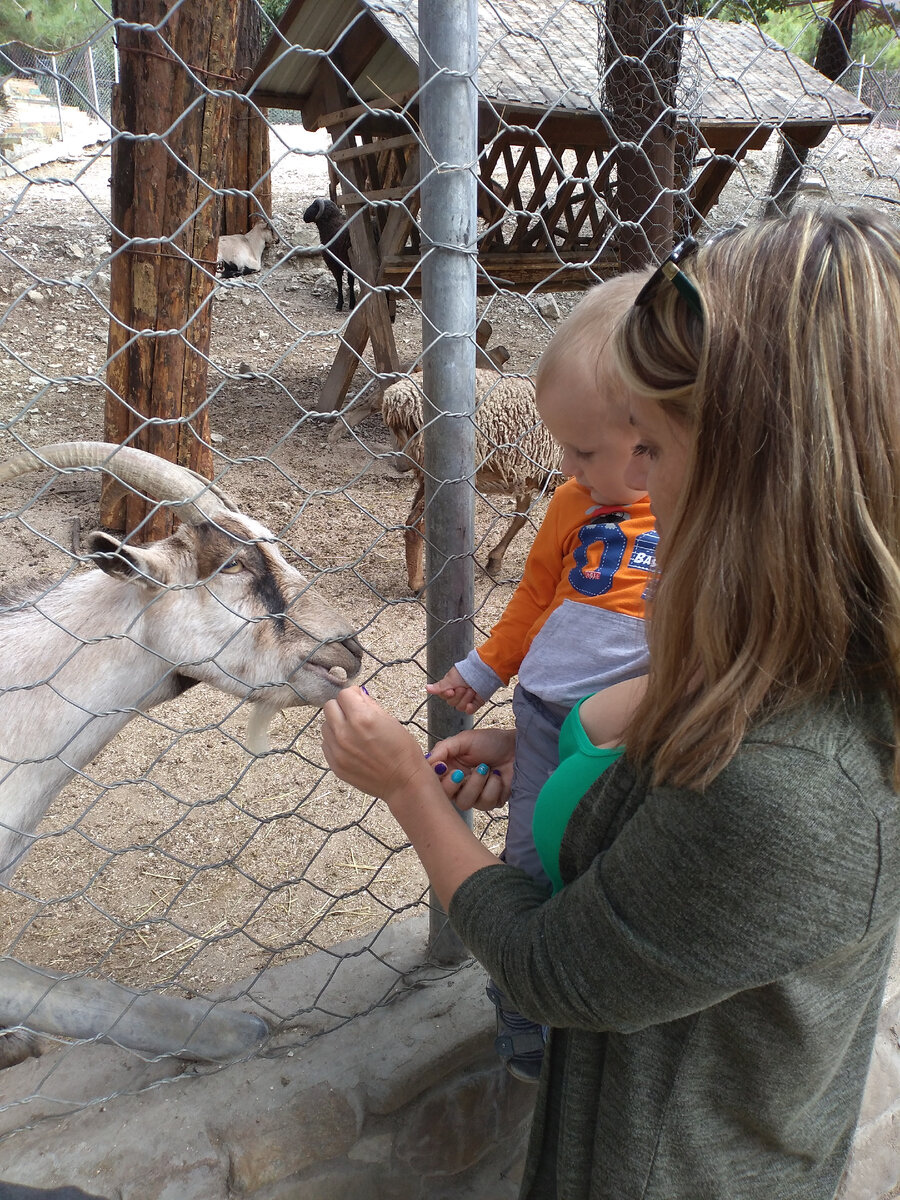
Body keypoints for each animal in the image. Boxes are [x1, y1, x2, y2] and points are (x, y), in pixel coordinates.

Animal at [381, 364, 564, 590]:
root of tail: (398, 401)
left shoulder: (526, 473)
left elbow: (521, 515)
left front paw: (495, 559)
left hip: (425, 472)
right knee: (416, 522)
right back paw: (417, 584)